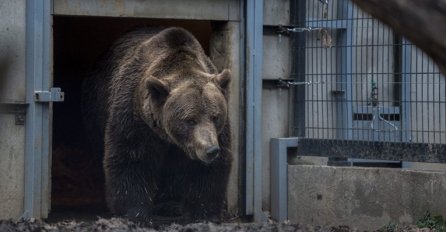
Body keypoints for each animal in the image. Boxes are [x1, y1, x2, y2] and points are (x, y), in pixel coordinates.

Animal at [81, 27, 232, 223]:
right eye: (190, 119)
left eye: (215, 116)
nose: (210, 149)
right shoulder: (135, 117)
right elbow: (132, 158)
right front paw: (135, 212)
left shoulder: (217, 134)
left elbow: (208, 170)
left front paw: (204, 213)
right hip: (95, 109)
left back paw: (170, 204)